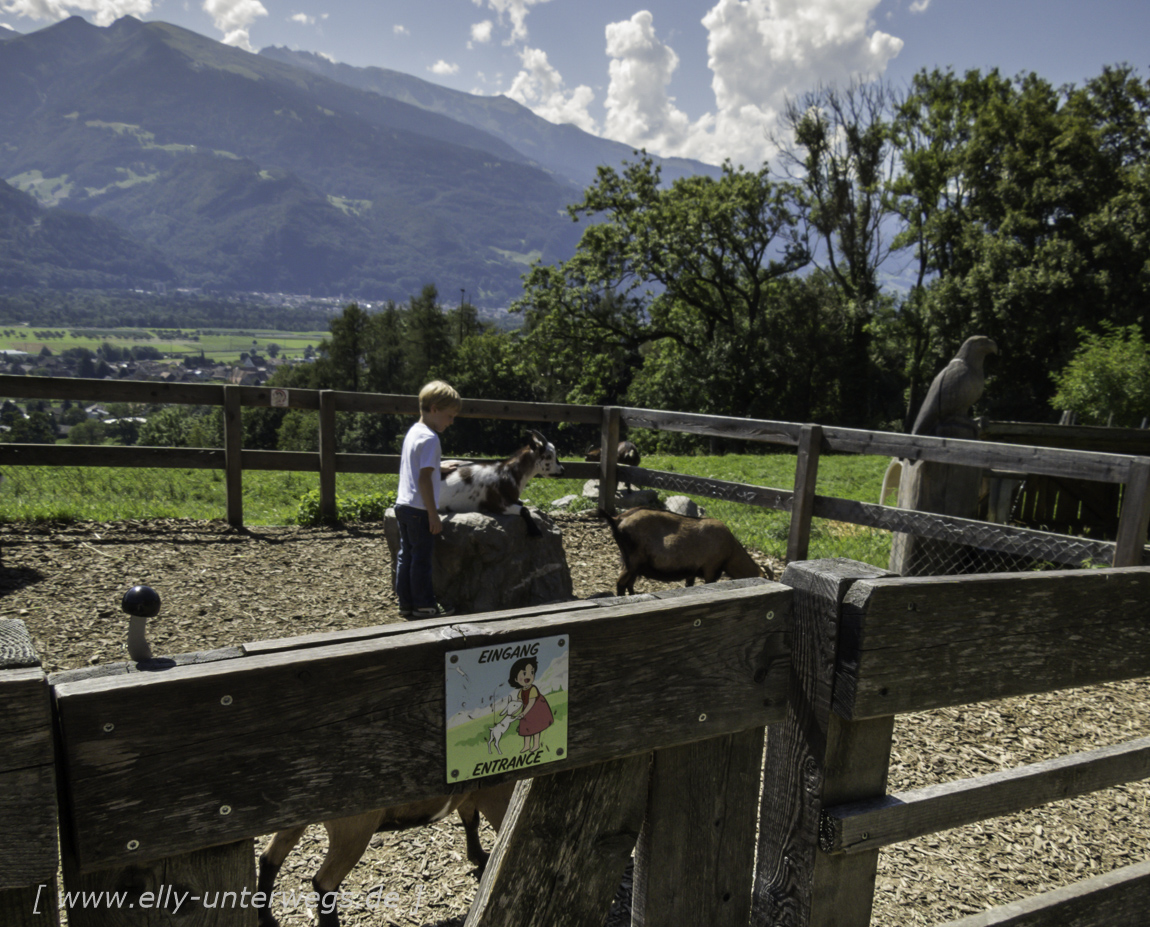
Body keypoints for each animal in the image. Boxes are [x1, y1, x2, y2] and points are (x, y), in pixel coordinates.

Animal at [598, 508, 768, 593]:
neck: (730, 549)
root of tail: (618, 520)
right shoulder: (711, 569)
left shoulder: (691, 572)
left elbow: (689, 586)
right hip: (632, 561)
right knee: (621, 583)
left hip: (633, 565)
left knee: (629, 584)